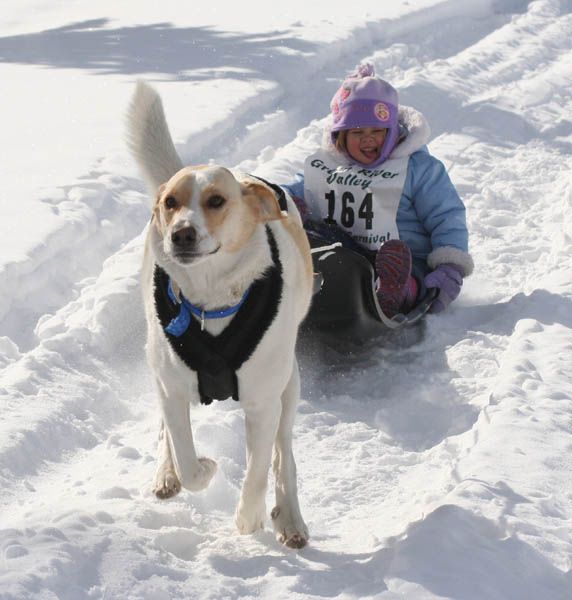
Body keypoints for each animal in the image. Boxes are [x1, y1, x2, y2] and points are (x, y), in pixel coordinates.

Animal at [127, 83, 312, 548]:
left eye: (216, 201)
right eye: (170, 203)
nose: (181, 233)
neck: (210, 298)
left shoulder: (263, 401)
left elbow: (259, 469)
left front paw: (249, 517)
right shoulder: (173, 388)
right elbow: (186, 456)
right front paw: (199, 469)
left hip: (289, 384)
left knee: (283, 455)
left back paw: (289, 516)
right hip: (159, 367)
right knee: (168, 435)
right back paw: (166, 474)